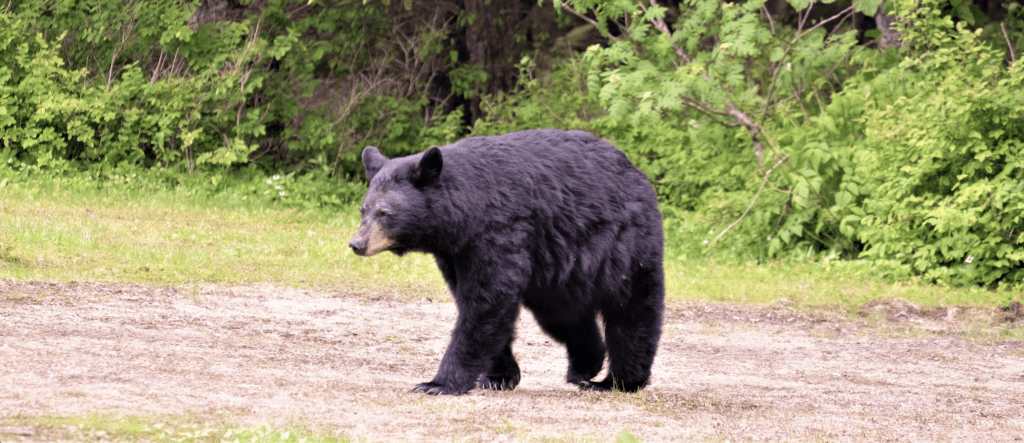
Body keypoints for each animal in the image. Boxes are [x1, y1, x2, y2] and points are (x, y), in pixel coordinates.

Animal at [348, 128, 664, 395]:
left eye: (385, 213)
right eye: (363, 209)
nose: (357, 244)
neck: (465, 213)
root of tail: (636, 172)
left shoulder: (498, 232)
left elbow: (488, 301)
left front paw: (438, 383)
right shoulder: (455, 252)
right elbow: (475, 302)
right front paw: (498, 377)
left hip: (624, 245)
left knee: (631, 310)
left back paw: (619, 381)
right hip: (556, 271)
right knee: (564, 316)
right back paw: (585, 366)